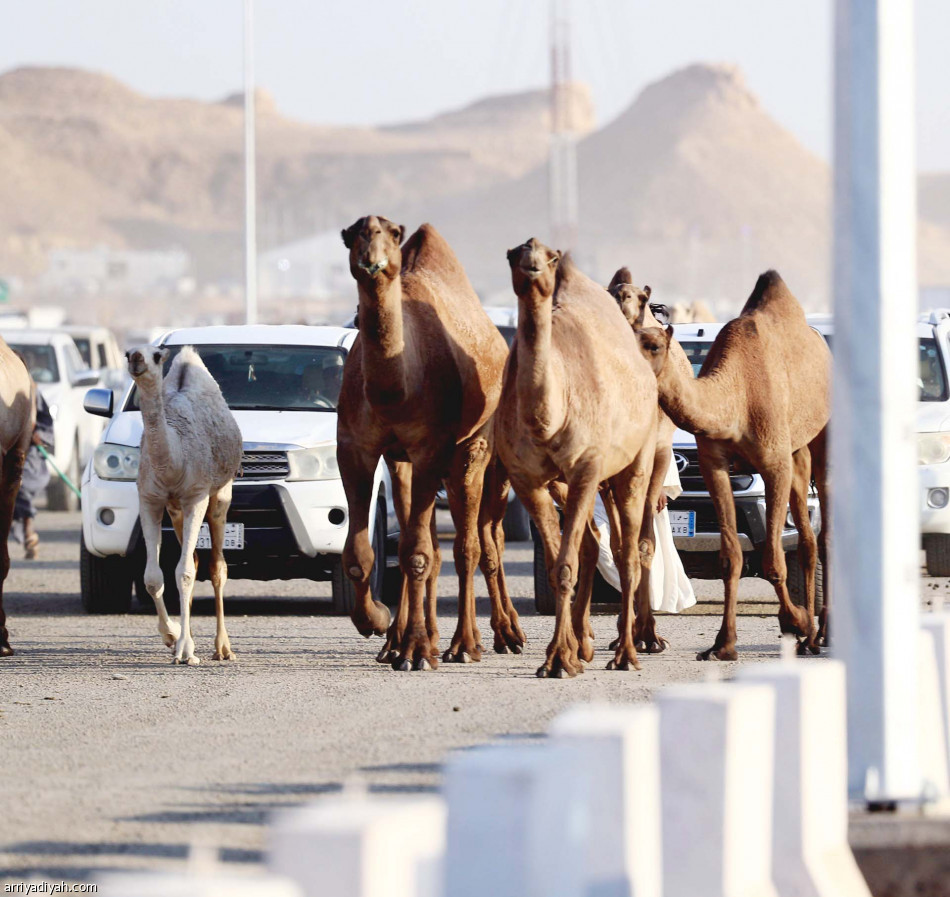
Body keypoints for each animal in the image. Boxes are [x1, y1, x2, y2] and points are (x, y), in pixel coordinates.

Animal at [338, 214, 524, 668]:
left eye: (391, 233)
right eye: (352, 234)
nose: (371, 256)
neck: (395, 393)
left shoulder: (431, 448)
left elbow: (421, 552)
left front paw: (417, 650)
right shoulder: (357, 447)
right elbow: (365, 554)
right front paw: (381, 624)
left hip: (479, 454)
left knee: (478, 544)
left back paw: (476, 641)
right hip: (414, 462)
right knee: (446, 544)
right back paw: (412, 641)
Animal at [494, 242, 660, 676]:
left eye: (550, 257)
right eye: (513, 254)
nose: (532, 267)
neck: (547, 416)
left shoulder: (587, 466)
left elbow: (567, 564)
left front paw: (559, 659)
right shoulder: (528, 479)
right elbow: (558, 566)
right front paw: (563, 655)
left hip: (636, 461)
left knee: (629, 551)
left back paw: (627, 653)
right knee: (594, 544)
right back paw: (586, 644)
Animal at [640, 266, 832, 656]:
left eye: (653, 345)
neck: (736, 400)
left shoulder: (773, 464)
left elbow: (773, 561)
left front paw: (796, 621)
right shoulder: (715, 464)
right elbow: (731, 556)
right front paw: (722, 644)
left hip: (820, 438)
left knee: (822, 534)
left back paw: (820, 634)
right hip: (797, 453)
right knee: (808, 539)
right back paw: (812, 636)